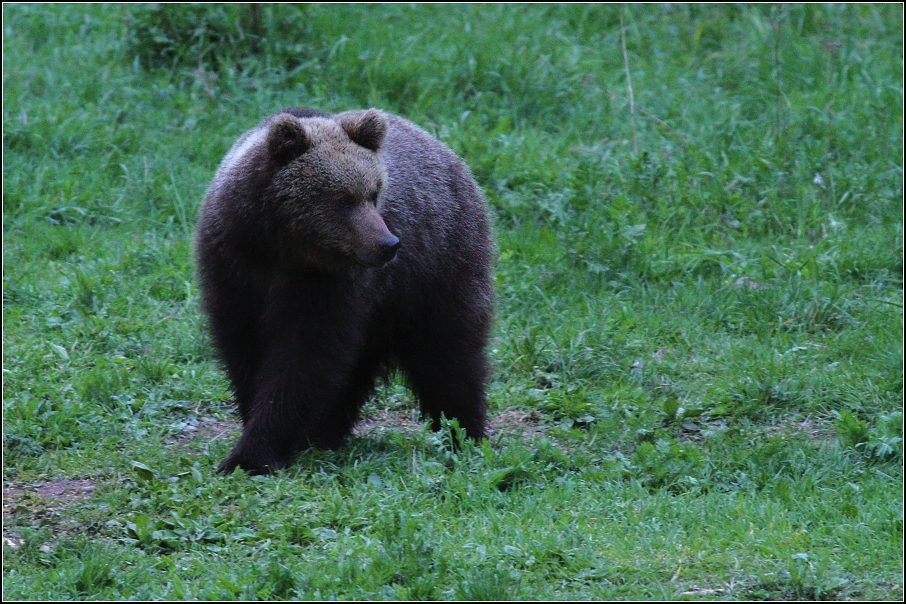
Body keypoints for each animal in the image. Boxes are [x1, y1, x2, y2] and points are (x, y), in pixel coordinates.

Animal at [192, 108, 494, 474]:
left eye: (374, 193)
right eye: (343, 199)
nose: (389, 244)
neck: (282, 248)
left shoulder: (330, 283)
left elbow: (304, 357)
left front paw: (255, 451)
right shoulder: (235, 267)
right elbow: (243, 345)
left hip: (436, 268)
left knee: (448, 353)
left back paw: (462, 432)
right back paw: (327, 431)